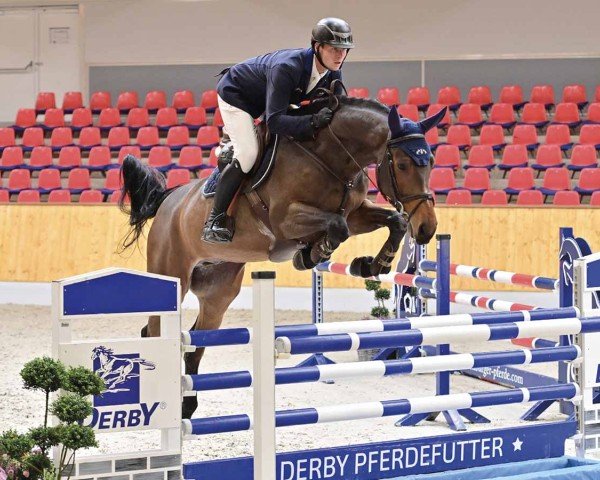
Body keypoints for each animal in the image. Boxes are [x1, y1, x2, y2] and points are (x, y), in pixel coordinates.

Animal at [119, 94, 446, 416]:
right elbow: (337, 227)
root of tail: (168, 200)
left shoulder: (355, 214)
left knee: (194, 343)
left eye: (431, 162)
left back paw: (186, 407)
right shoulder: (286, 220)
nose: (427, 228)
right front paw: (312, 254)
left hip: (218, 292)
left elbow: (394, 221)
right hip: (174, 276)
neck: (330, 157)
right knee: (154, 331)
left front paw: (370, 264)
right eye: (402, 165)